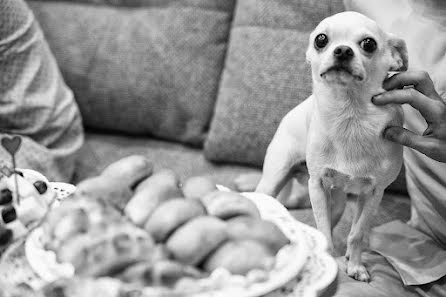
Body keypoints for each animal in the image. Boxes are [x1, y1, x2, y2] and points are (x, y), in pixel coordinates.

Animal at [254, 11, 408, 280]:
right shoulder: (316, 186)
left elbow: (357, 233)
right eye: (321, 39)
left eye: (369, 44)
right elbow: (324, 230)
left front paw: (355, 266)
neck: (349, 115)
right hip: (274, 179)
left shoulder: (374, 194)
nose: (343, 50)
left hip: (338, 203)